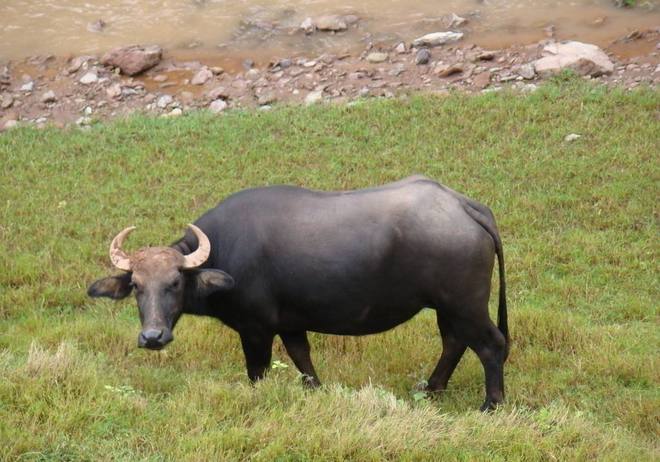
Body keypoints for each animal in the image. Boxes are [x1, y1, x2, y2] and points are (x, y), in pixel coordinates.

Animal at [87, 175, 508, 410]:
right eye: (137, 286)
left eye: (175, 282)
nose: (152, 337)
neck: (225, 250)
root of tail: (462, 205)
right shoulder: (290, 324)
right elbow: (302, 358)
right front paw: (316, 390)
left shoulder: (255, 328)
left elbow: (257, 371)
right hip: (446, 306)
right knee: (454, 342)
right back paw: (432, 388)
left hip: (466, 303)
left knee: (491, 345)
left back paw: (491, 404)